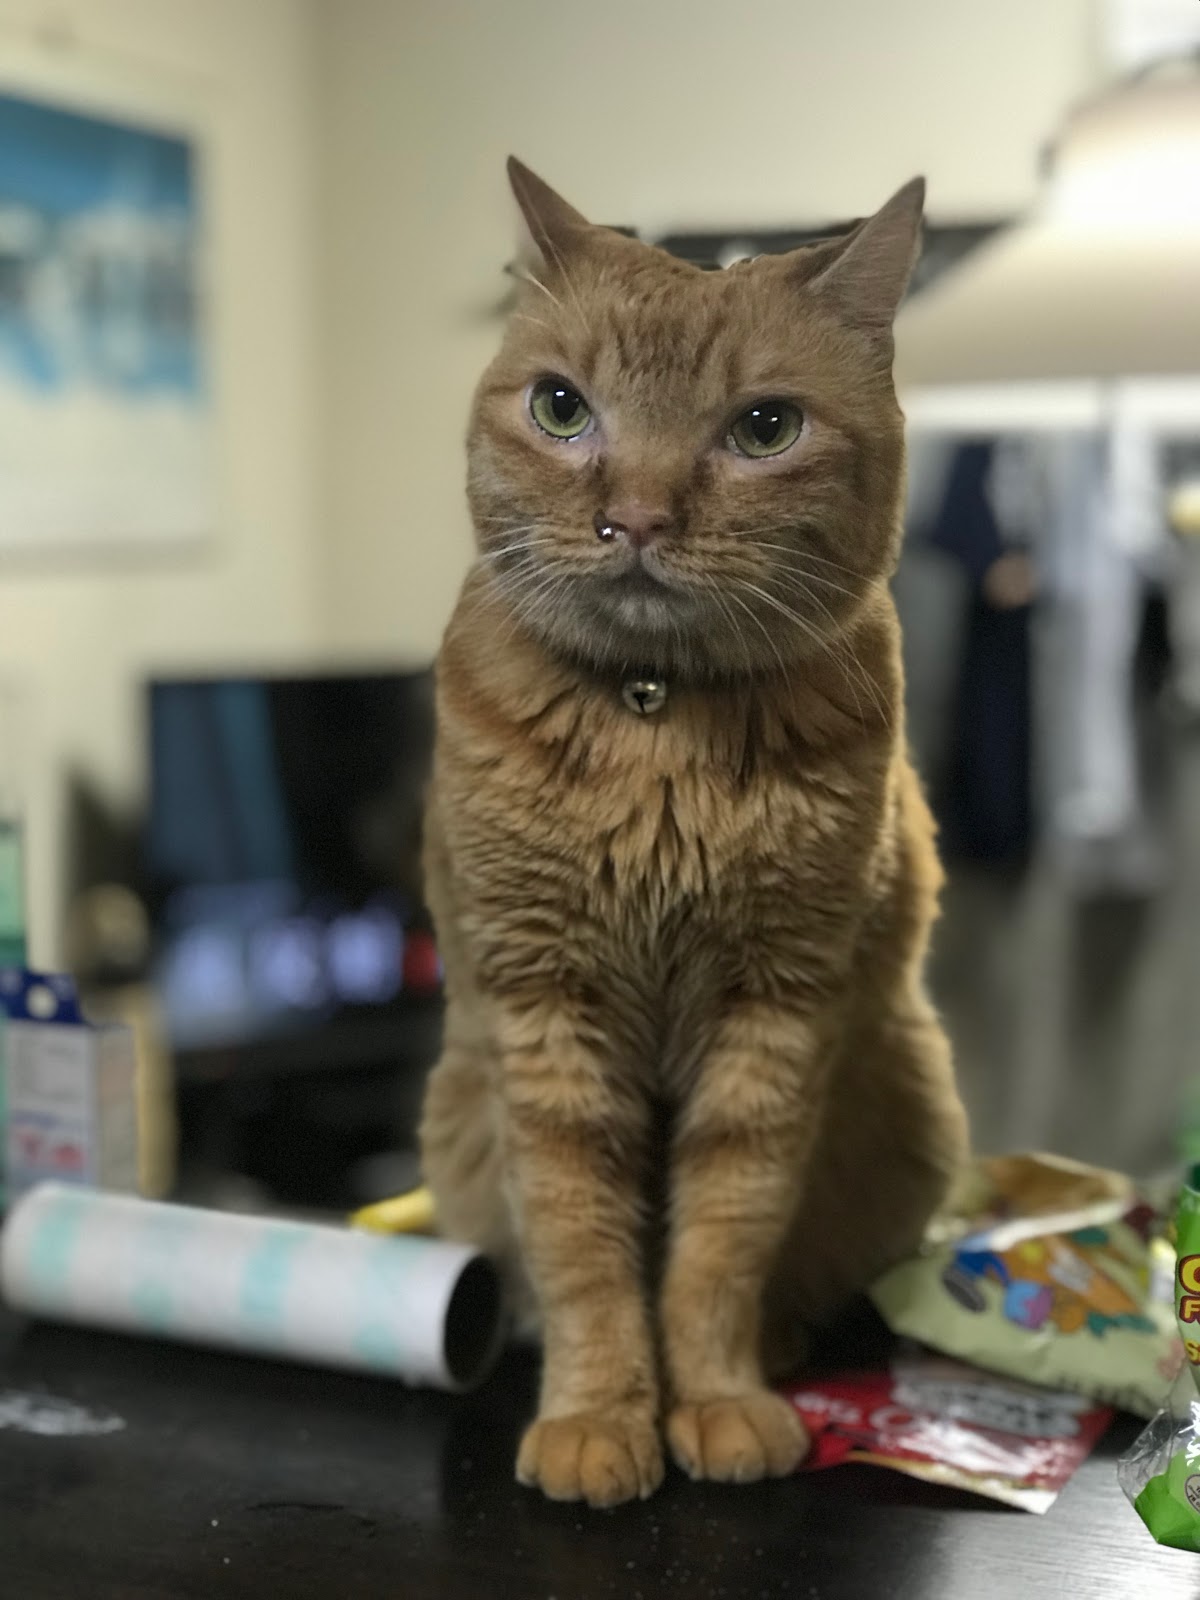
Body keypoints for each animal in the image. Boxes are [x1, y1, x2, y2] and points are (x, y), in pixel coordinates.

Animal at [420, 158, 969, 1508]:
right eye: (561, 409)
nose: (638, 516)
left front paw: (713, 1397)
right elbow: (581, 1245)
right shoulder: (544, 1008)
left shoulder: (779, 1009)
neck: (653, 712)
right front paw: (600, 1414)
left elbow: (723, 1237)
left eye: (764, 429)